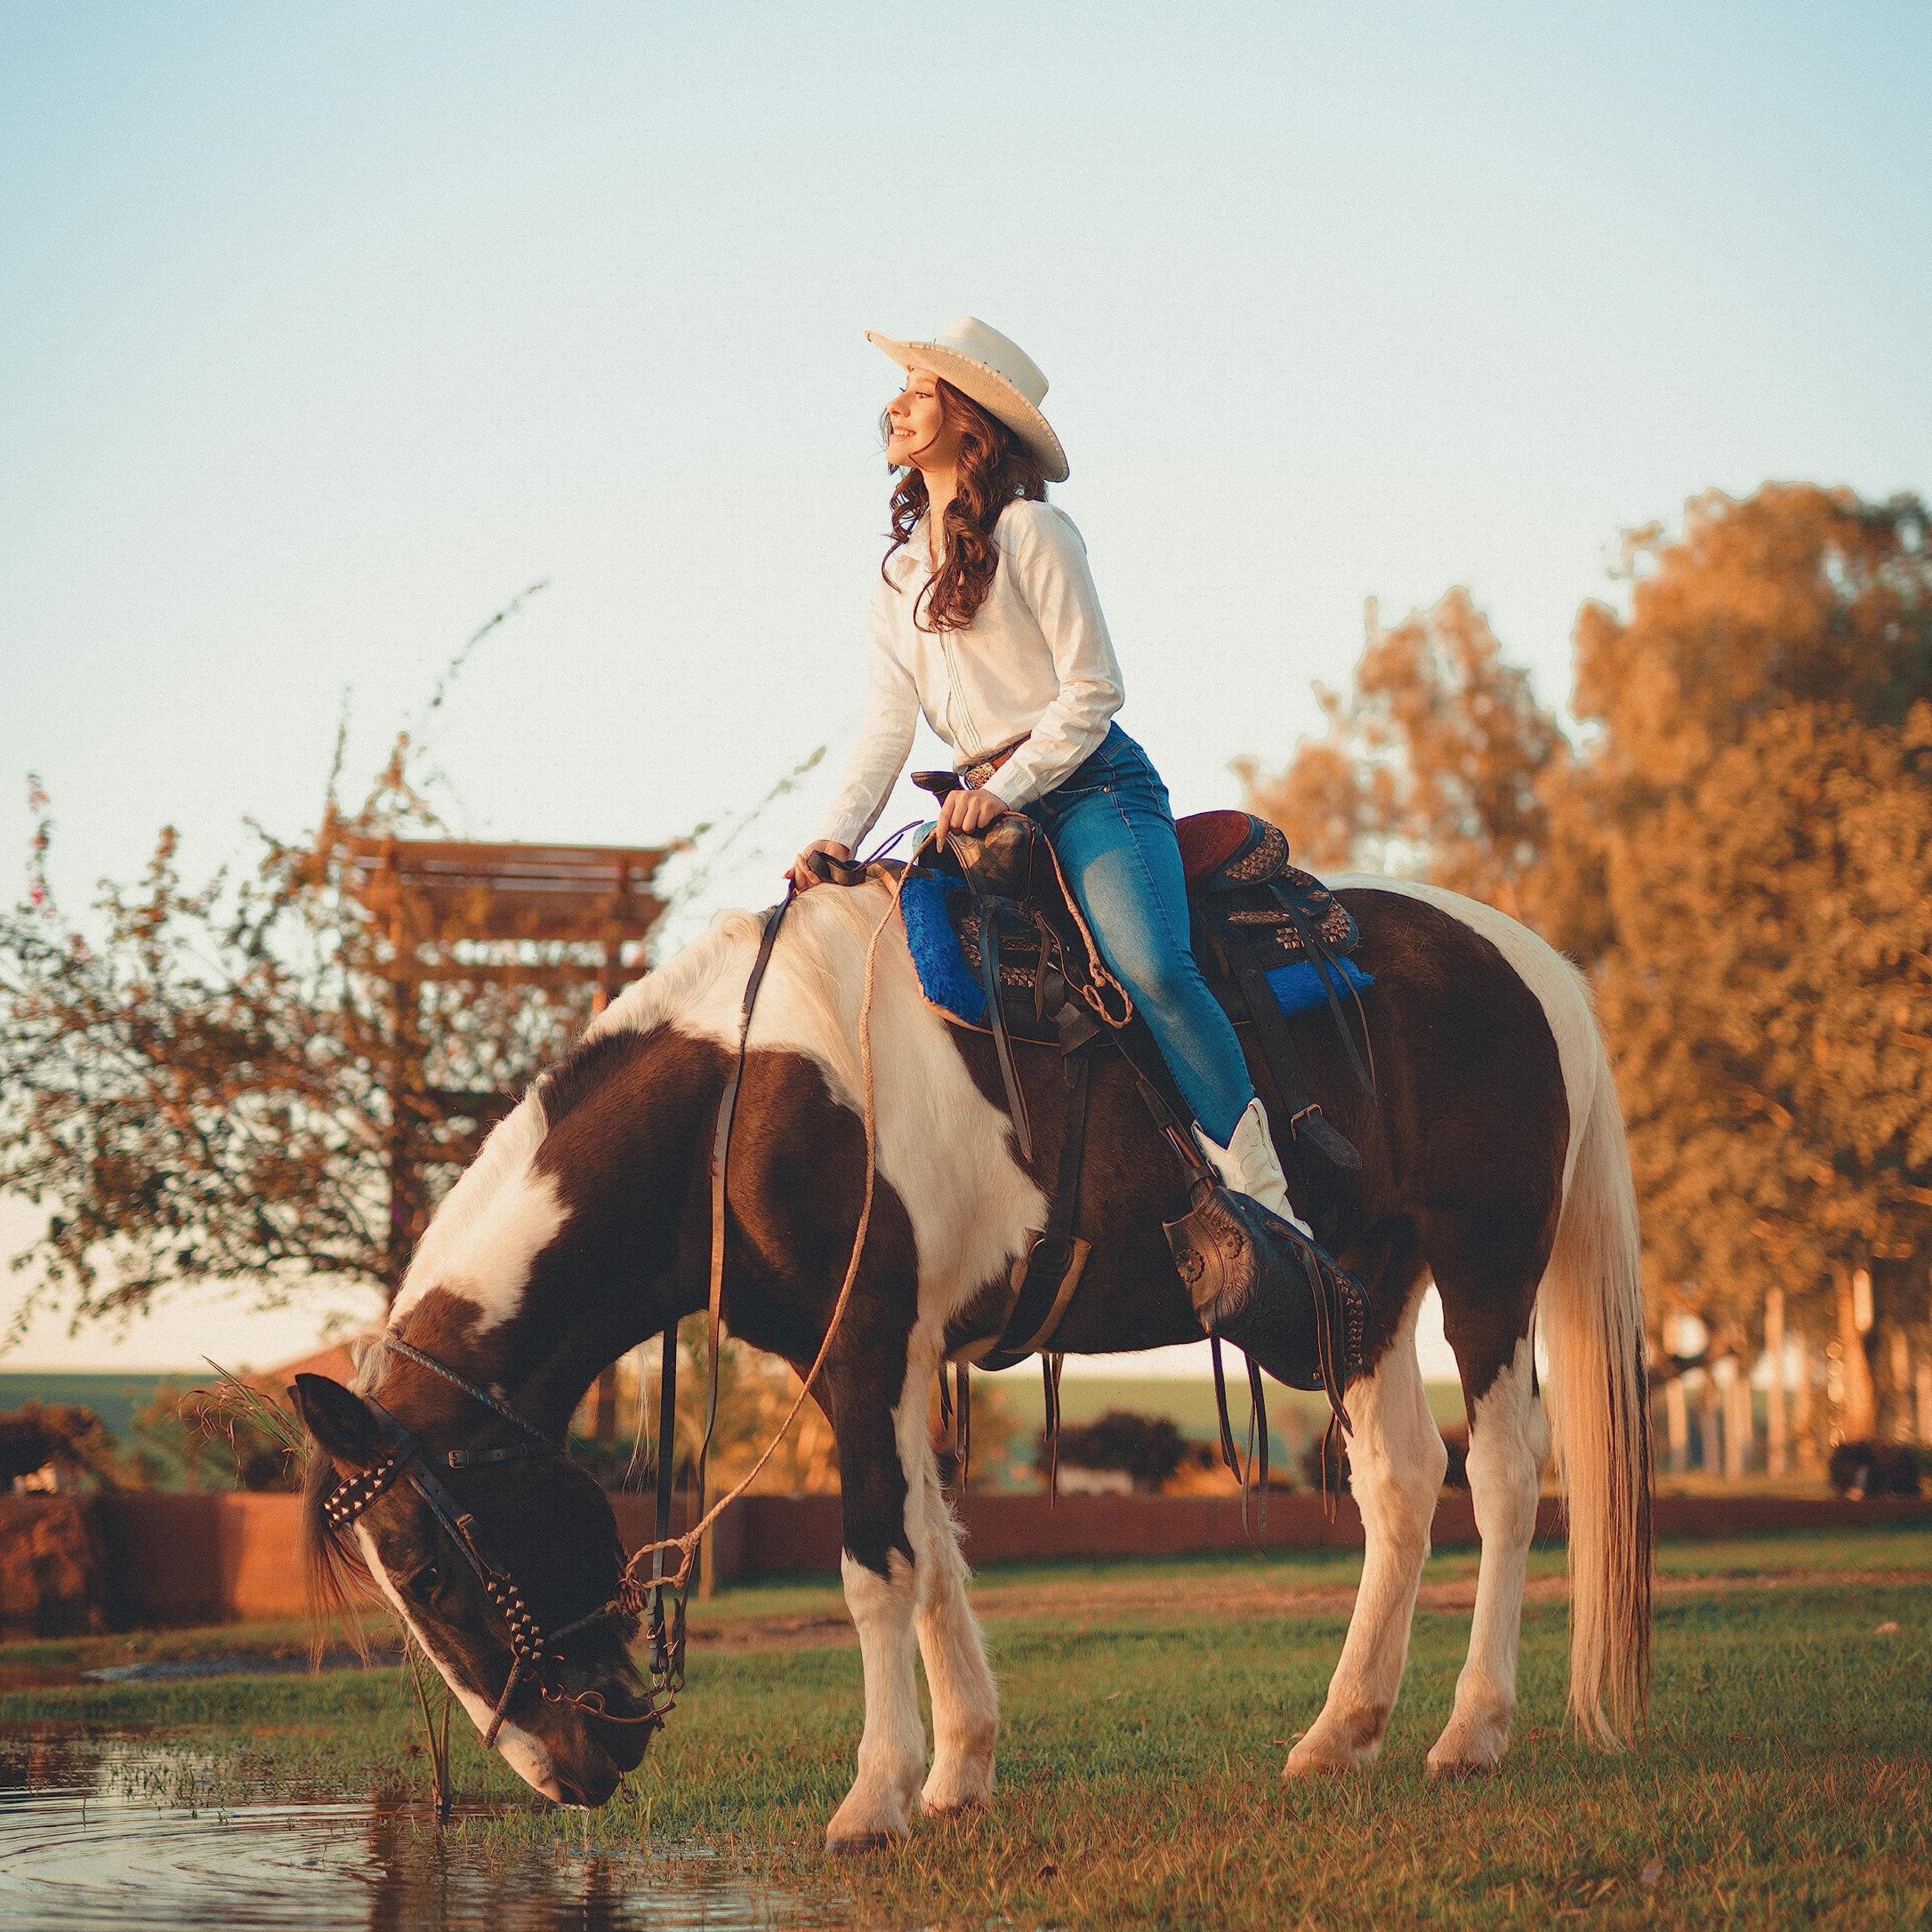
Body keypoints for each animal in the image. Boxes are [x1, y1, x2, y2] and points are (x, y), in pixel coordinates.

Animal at [297, 873, 1646, 1839]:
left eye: (422, 1568)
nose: (570, 1768)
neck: (744, 1105)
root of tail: (1527, 962)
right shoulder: (893, 1364)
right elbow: (933, 1554)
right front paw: (956, 1775)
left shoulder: (859, 1348)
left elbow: (874, 1566)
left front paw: (875, 1798)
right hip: (1363, 1289)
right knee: (1404, 1484)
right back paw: (1340, 1732)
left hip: (1483, 1263)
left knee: (1506, 1475)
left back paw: (1472, 1733)